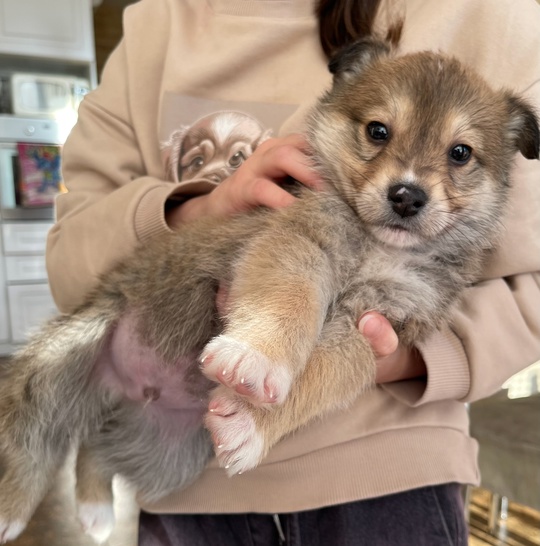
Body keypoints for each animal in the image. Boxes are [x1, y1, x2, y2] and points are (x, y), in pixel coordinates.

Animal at [1, 37, 540, 540]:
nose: (407, 196)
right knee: (33, 438)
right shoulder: (298, 241)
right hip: (65, 353)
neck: (377, 247)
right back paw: (14, 512)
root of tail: (120, 387)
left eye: (460, 153)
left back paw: (95, 511)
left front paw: (252, 424)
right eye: (378, 130)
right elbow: (293, 301)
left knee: (93, 444)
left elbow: (318, 376)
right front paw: (254, 357)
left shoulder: (372, 324)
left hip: (165, 454)